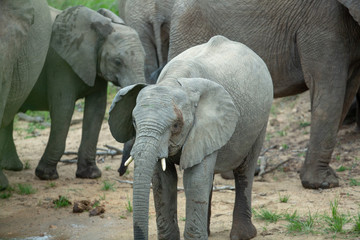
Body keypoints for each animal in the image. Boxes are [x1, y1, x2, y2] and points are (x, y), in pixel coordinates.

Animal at [1, 5, 145, 180]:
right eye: (117, 62)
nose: (120, 172)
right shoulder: (60, 63)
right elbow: (64, 109)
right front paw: (46, 175)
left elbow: (96, 110)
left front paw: (91, 174)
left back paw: (13, 167)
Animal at [109, 36, 272, 240]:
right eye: (133, 121)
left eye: (176, 125)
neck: (174, 81)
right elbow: (162, 180)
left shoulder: (207, 126)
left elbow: (194, 180)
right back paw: (208, 232)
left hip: (261, 121)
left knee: (244, 169)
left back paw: (242, 235)